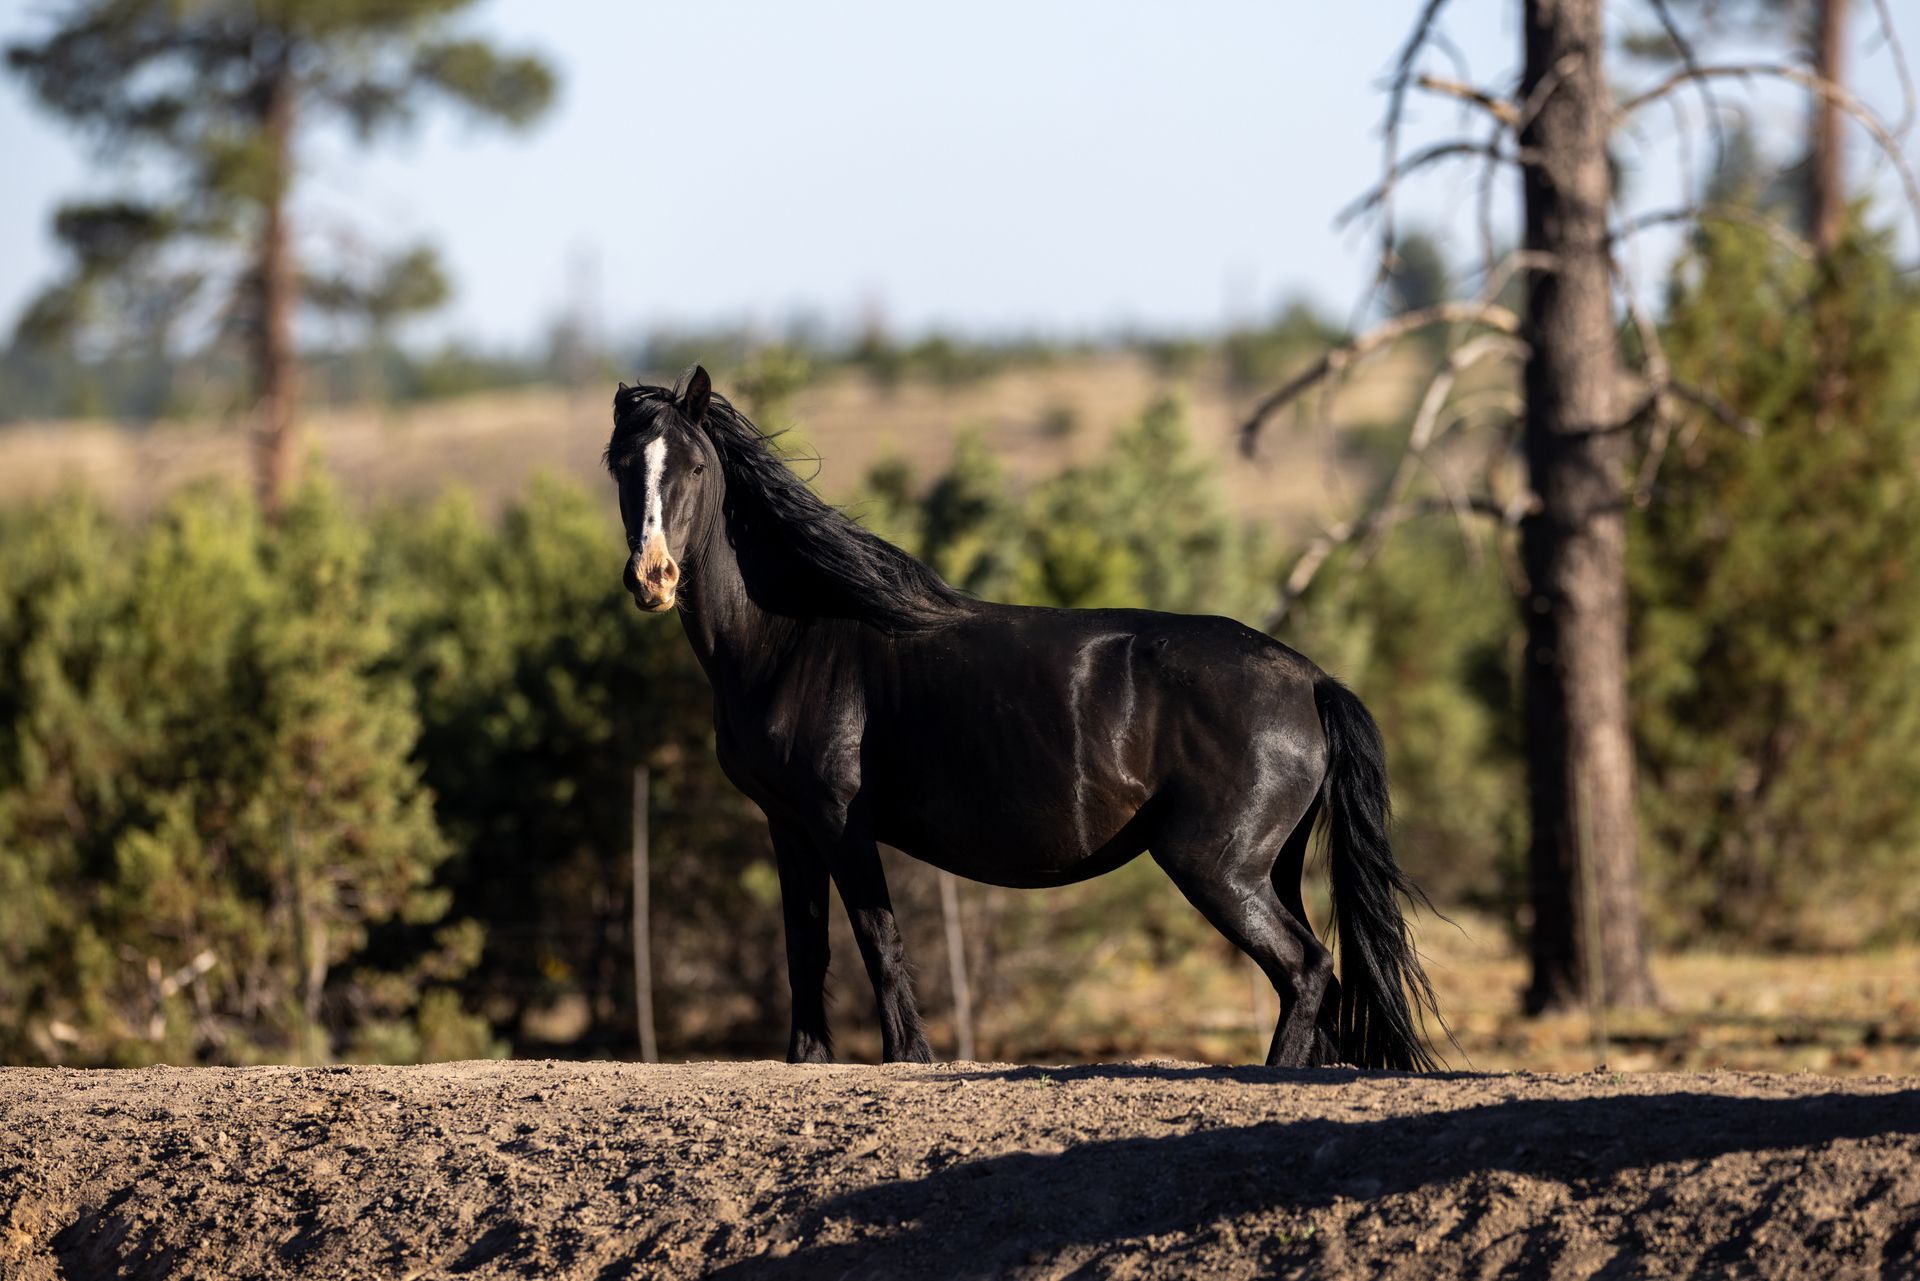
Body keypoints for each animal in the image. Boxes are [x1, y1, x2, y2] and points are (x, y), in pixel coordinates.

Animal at [603, 366, 1445, 1070]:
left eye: (695, 466)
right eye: (621, 465)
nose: (653, 577)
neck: (795, 633)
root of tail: (1312, 679)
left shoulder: (840, 818)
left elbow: (879, 937)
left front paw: (910, 1056)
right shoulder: (789, 823)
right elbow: (805, 944)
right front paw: (807, 1058)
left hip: (1217, 867)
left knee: (1306, 968)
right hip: (1270, 866)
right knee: (1315, 977)